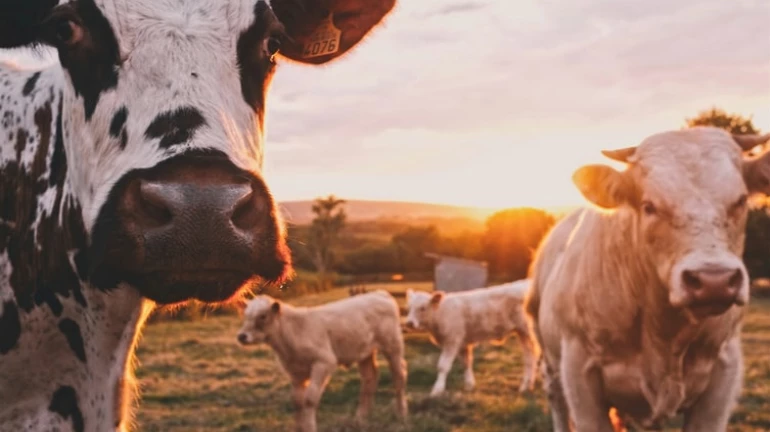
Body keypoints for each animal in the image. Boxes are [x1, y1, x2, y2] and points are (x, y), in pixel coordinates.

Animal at [236, 290, 408, 432]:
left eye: (263, 316)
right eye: (245, 315)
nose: (242, 336)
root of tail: (379, 293)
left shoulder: (324, 362)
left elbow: (309, 399)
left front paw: (310, 427)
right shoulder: (295, 372)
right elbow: (297, 401)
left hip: (393, 345)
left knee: (399, 375)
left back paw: (401, 414)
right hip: (364, 352)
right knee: (369, 378)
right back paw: (361, 418)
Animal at [404, 279, 538, 396]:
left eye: (422, 308)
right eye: (409, 307)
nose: (409, 323)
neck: (440, 313)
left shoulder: (452, 341)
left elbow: (443, 366)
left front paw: (437, 390)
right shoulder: (463, 343)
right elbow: (466, 363)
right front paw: (469, 385)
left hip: (528, 330)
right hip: (522, 332)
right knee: (529, 356)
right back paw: (526, 386)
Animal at [525, 127, 770, 431]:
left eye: (741, 200)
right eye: (649, 205)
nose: (714, 280)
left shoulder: (723, 374)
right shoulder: (580, 376)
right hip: (548, 358)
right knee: (556, 400)